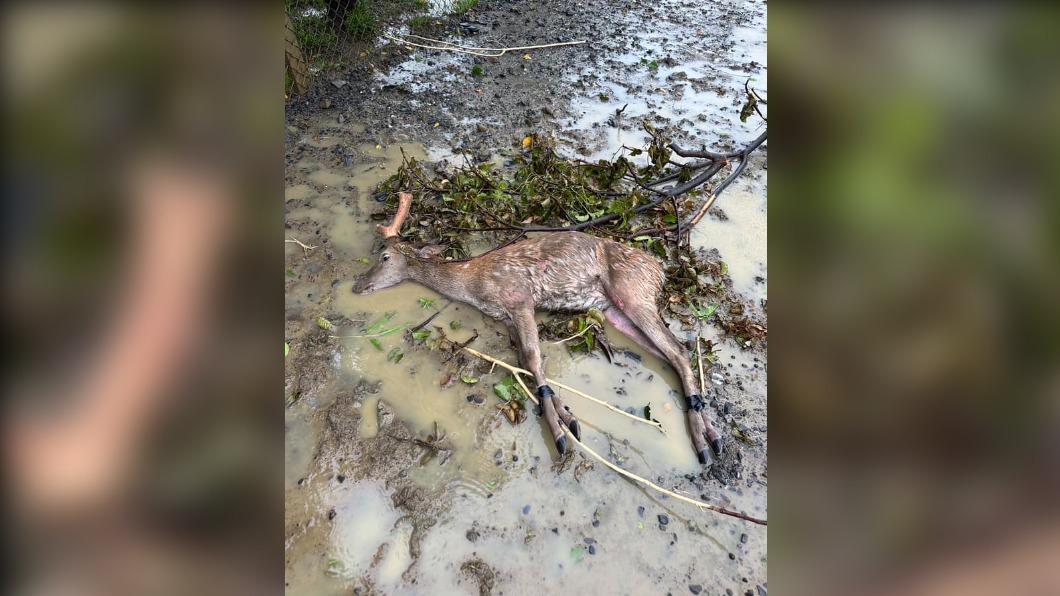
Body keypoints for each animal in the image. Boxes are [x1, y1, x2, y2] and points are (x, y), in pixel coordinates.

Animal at [353, 192, 725, 465]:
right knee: (674, 354)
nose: (357, 285)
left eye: (384, 256)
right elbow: (523, 359)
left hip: (634, 293)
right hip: (616, 312)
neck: (473, 284)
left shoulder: (519, 299)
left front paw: (559, 433)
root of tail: (660, 271)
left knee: (678, 350)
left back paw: (705, 442)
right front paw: (567, 416)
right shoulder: (506, 317)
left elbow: (533, 358)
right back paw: (707, 428)